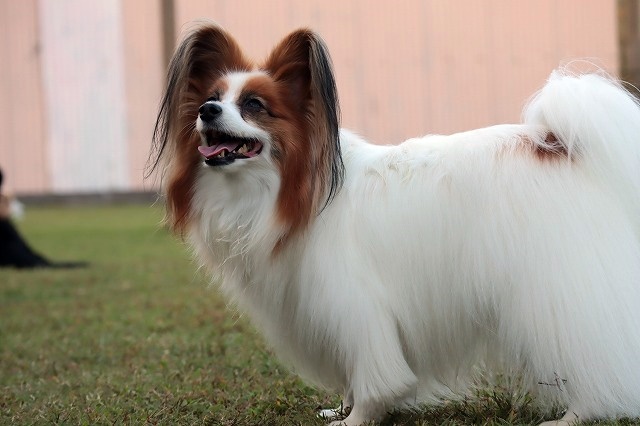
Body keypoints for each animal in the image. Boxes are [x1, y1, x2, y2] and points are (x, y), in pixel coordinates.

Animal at [150, 21, 640, 425]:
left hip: (555, 292)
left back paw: (575, 416)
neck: (288, 190)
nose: (207, 111)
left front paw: (358, 418)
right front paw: (342, 409)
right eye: (212, 98)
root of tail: (558, 145)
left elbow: (373, 374)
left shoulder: (355, 303)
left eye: (253, 105)